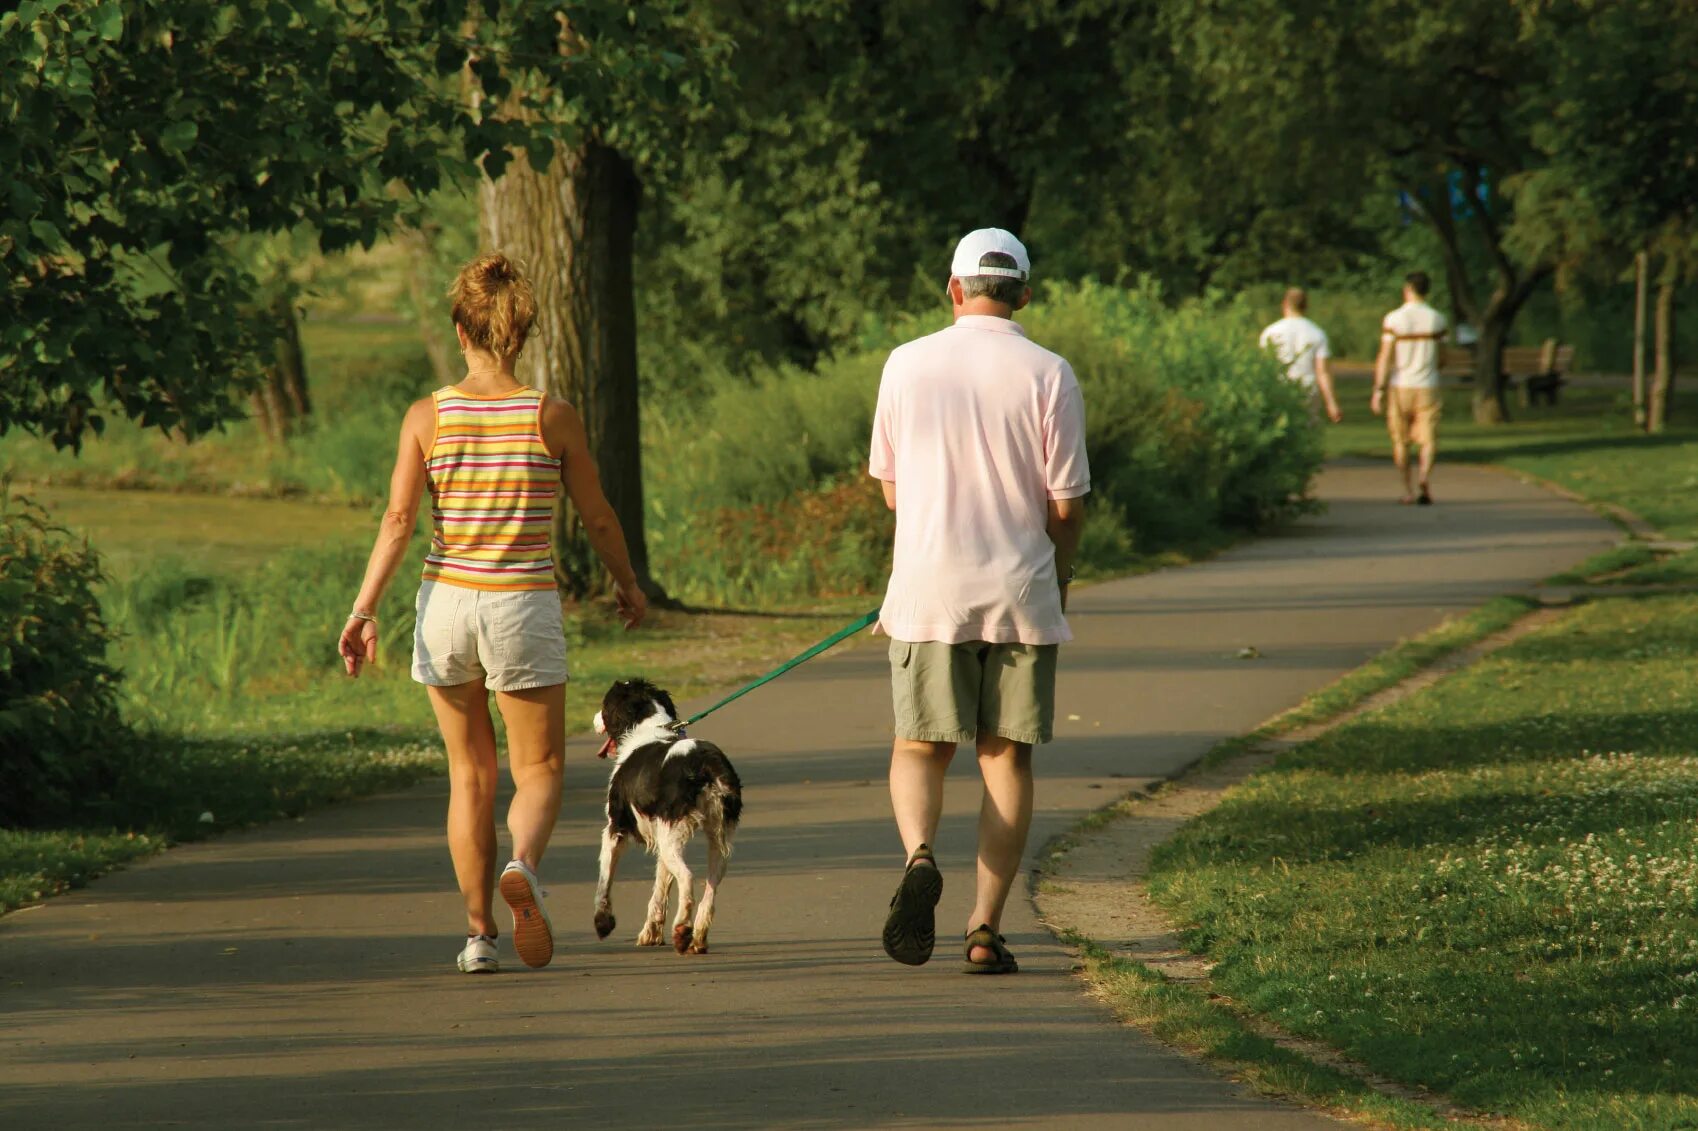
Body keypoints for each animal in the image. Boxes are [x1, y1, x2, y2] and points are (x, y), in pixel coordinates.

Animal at [594, 679, 740, 950]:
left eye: (605, 704)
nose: (594, 718)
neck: (650, 727)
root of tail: (706, 762)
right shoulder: (660, 836)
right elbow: (660, 890)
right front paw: (651, 933)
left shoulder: (615, 829)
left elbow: (604, 880)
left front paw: (603, 923)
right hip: (716, 838)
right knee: (711, 886)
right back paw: (698, 937)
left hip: (673, 837)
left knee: (688, 879)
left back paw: (682, 929)